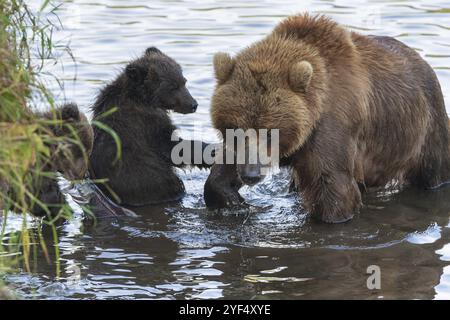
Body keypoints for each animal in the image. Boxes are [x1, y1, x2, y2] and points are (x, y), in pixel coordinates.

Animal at [206, 12, 450, 222]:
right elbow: (223, 169)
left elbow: (334, 190)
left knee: (435, 170)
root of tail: (421, 60)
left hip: (425, 129)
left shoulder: (331, 128)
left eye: (269, 132)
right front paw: (231, 198)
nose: (251, 174)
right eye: (236, 129)